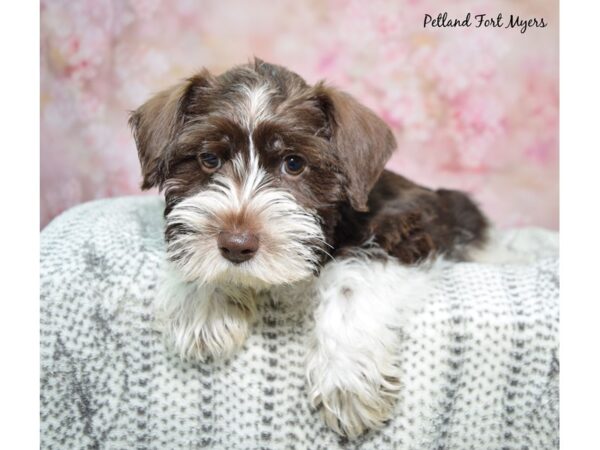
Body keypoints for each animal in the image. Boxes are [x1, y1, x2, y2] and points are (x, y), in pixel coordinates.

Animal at [127, 58, 488, 438]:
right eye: (209, 158)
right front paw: (205, 303)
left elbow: (352, 279)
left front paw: (346, 379)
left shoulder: (409, 226)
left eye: (294, 163)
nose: (237, 245)